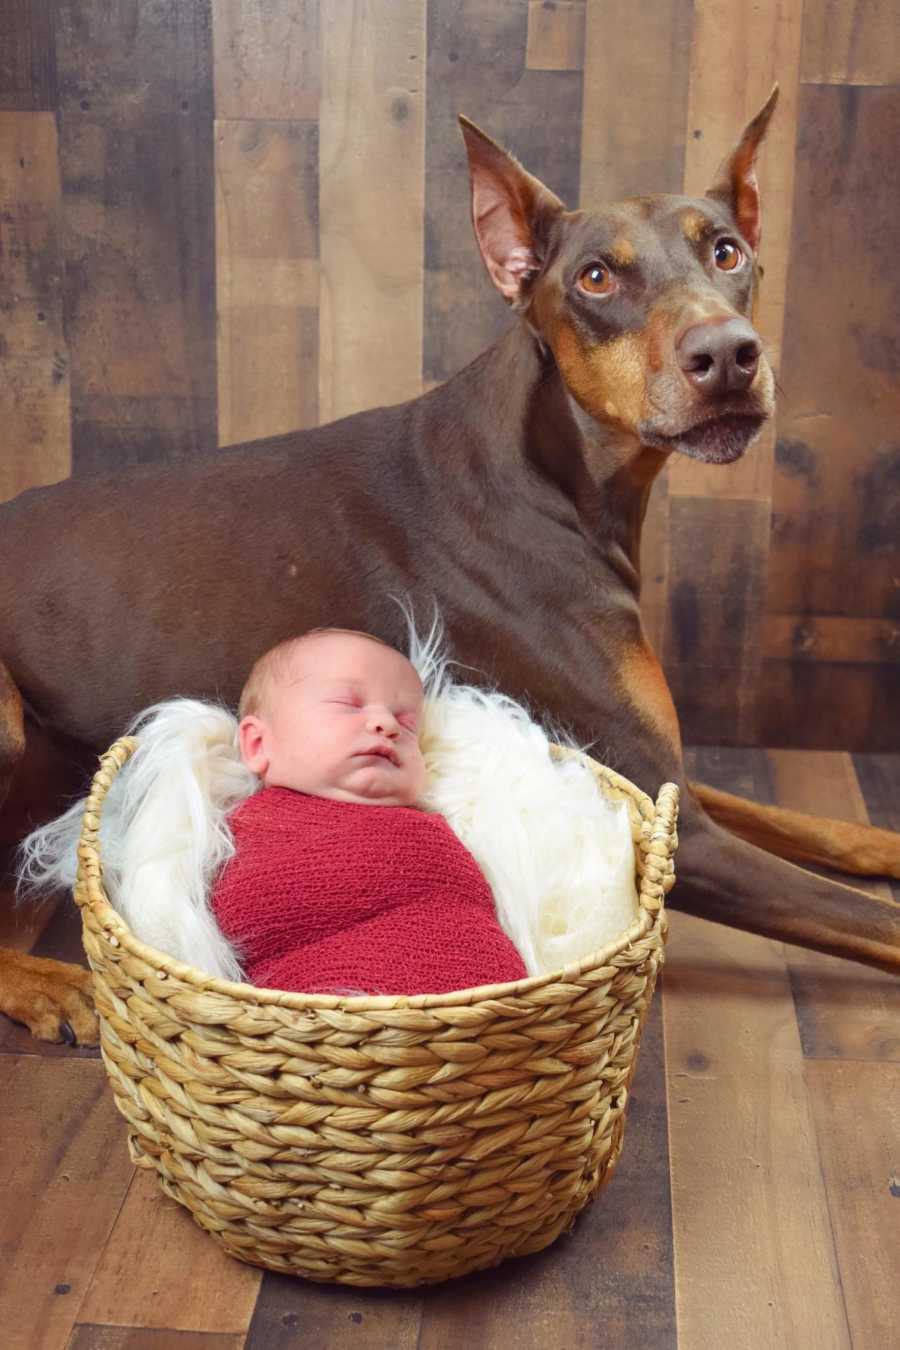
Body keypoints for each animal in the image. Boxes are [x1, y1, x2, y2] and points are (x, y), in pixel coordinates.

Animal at [0, 92, 895, 1042]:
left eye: (726, 251)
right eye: (596, 279)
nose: (727, 355)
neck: (553, 470)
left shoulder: (663, 778)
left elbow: (797, 819)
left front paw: (885, 843)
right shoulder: (675, 817)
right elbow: (873, 917)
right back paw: (50, 988)